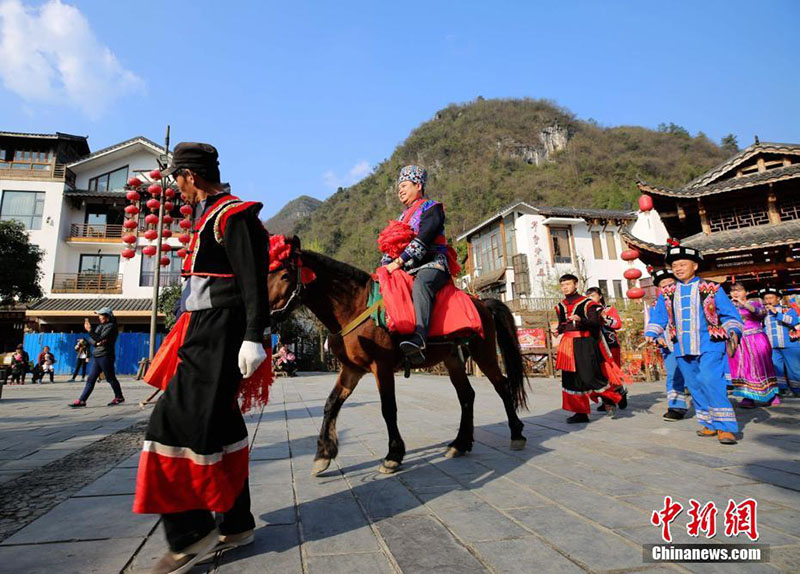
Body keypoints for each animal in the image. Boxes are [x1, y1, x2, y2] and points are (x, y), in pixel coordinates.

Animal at [270, 238, 532, 476]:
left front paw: (393, 455)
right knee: (467, 395)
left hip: (483, 352)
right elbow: (331, 404)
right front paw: (324, 454)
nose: (268, 315)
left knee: (502, 385)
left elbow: (388, 408)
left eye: (284, 276)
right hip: (453, 358)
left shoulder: (381, 366)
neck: (355, 307)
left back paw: (516, 433)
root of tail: (482, 303)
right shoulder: (351, 368)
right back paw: (460, 443)